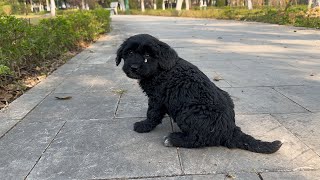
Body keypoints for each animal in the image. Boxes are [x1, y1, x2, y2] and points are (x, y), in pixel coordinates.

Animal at [116, 33, 282, 153]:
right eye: (129, 52)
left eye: (148, 56)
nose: (134, 67)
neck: (160, 70)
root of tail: (230, 130)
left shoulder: (157, 99)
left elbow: (152, 114)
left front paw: (143, 126)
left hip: (187, 112)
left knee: (198, 139)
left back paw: (173, 139)